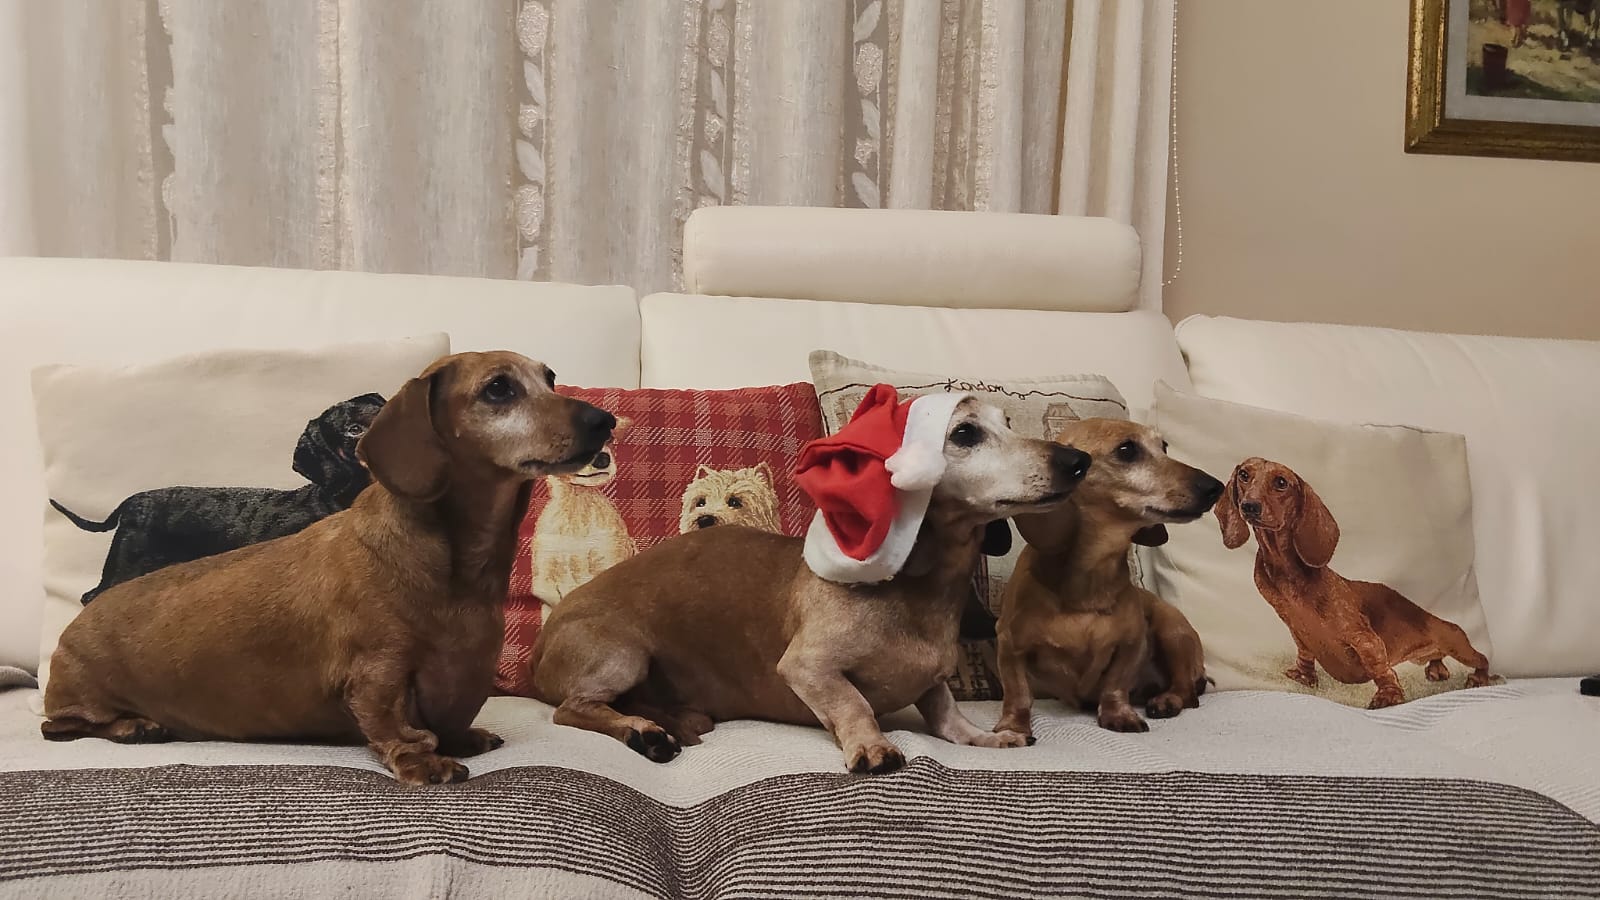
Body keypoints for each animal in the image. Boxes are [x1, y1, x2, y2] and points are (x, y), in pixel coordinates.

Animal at [994, 419, 1221, 736]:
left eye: (1164, 446)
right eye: (1127, 450)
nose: (1216, 487)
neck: (1091, 577)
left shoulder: (1131, 644)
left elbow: (1115, 685)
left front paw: (1119, 715)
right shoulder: (1009, 644)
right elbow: (1017, 693)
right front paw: (1013, 727)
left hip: (1172, 629)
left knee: (1187, 691)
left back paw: (1166, 700)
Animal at [1216, 457, 1495, 709]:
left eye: (1281, 482)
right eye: (1244, 475)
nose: (1249, 506)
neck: (1289, 575)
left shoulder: (1364, 638)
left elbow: (1379, 667)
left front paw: (1388, 695)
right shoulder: (1297, 632)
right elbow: (1304, 654)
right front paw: (1304, 676)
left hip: (1457, 643)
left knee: (1481, 659)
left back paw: (1480, 678)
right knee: (1437, 658)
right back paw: (1437, 669)